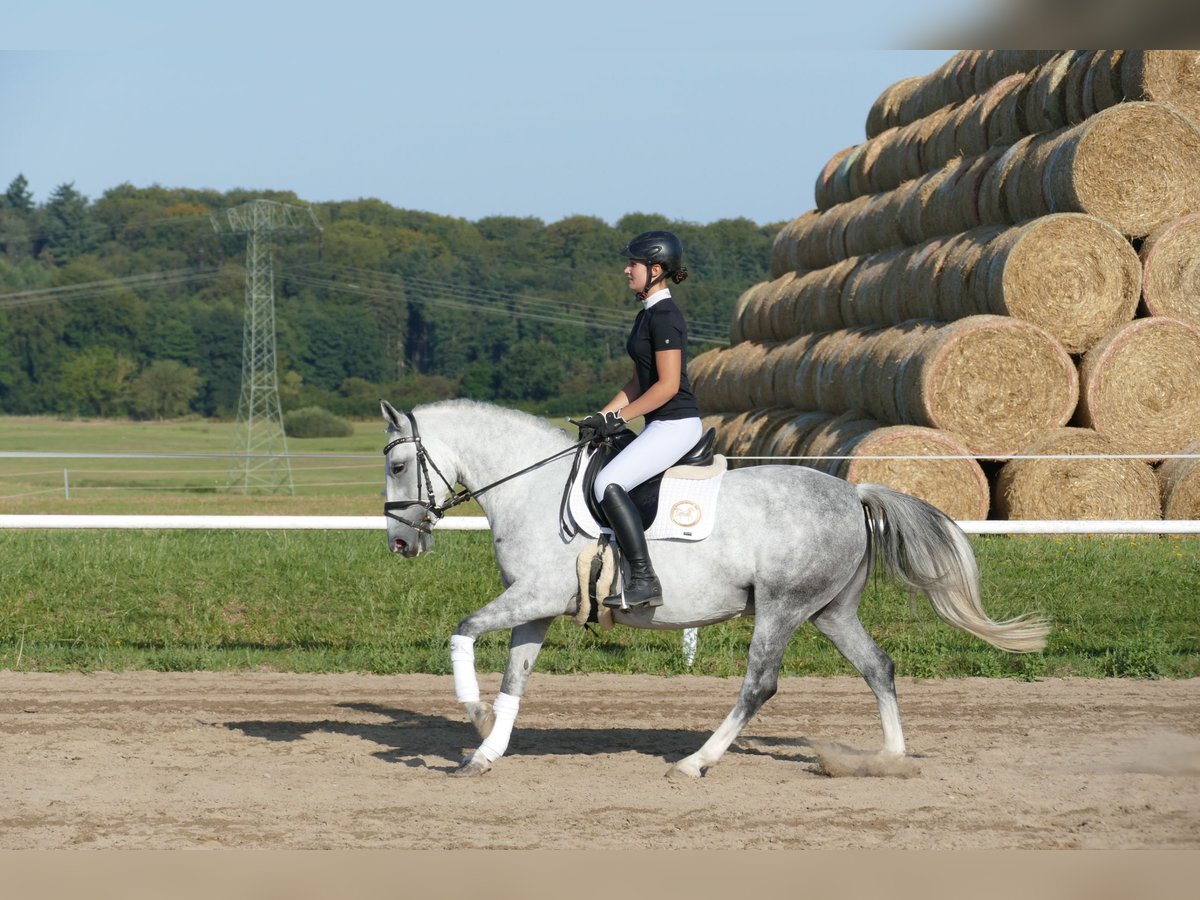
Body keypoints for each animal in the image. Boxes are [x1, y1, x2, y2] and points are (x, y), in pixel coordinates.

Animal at [379, 398, 1046, 777]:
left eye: (396, 465)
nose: (401, 544)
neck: (533, 488)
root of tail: (853, 491)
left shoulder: (534, 598)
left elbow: (462, 633)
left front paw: (472, 714)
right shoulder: (537, 608)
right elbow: (515, 680)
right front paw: (485, 751)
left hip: (782, 607)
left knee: (760, 684)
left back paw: (696, 763)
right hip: (830, 610)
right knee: (878, 667)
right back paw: (890, 760)